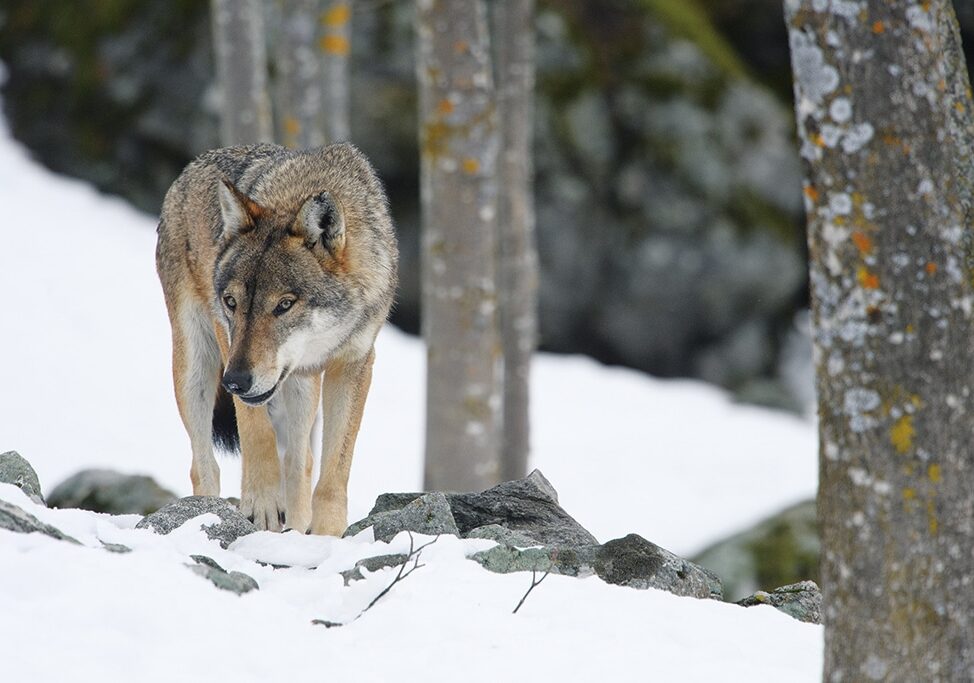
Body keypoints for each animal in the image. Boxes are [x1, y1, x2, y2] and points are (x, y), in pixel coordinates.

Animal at [156, 143, 397, 535]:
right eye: (231, 302)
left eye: (284, 304)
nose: (236, 382)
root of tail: (190, 168)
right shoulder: (229, 343)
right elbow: (257, 432)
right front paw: (263, 503)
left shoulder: (355, 362)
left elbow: (334, 469)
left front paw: (328, 534)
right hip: (196, 368)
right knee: (203, 465)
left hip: (301, 387)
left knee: (301, 462)